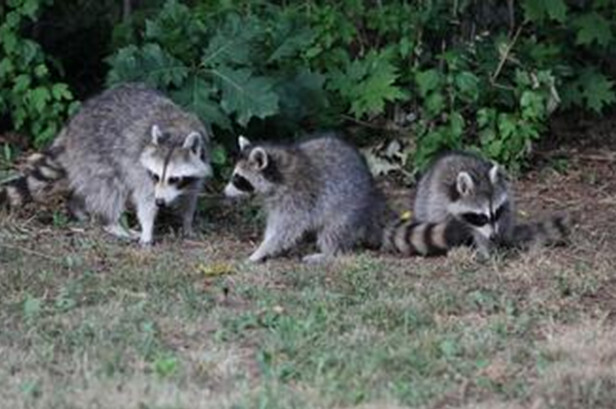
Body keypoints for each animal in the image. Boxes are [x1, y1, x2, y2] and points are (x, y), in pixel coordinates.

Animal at [0, 82, 212, 242]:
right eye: (156, 175)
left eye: (174, 179)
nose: (160, 201)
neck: (176, 133)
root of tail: (72, 128)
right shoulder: (141, 171)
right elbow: (145, 198)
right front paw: (147, 229)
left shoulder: (200, 161)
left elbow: (191, 195)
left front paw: (187, 222)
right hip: (95, 151)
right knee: (109, 188)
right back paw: (112, 223)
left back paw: (78, 208)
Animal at [224, 132, 388, 262]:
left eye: (238, 179)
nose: (224, 192)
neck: (278, 173)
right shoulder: (277, 200)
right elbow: (276, 224)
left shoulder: (297, 197)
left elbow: (286, 228)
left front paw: (263, 250)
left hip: (348, 208)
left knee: (333, 230)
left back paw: (328, 253)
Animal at [414, 151, 572, 256]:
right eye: (481, 217)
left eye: (496, 213)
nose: (495, 237)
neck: (478, 178)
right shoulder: (439, 201)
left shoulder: (503, 206)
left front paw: (487, 248)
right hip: (425, 195)